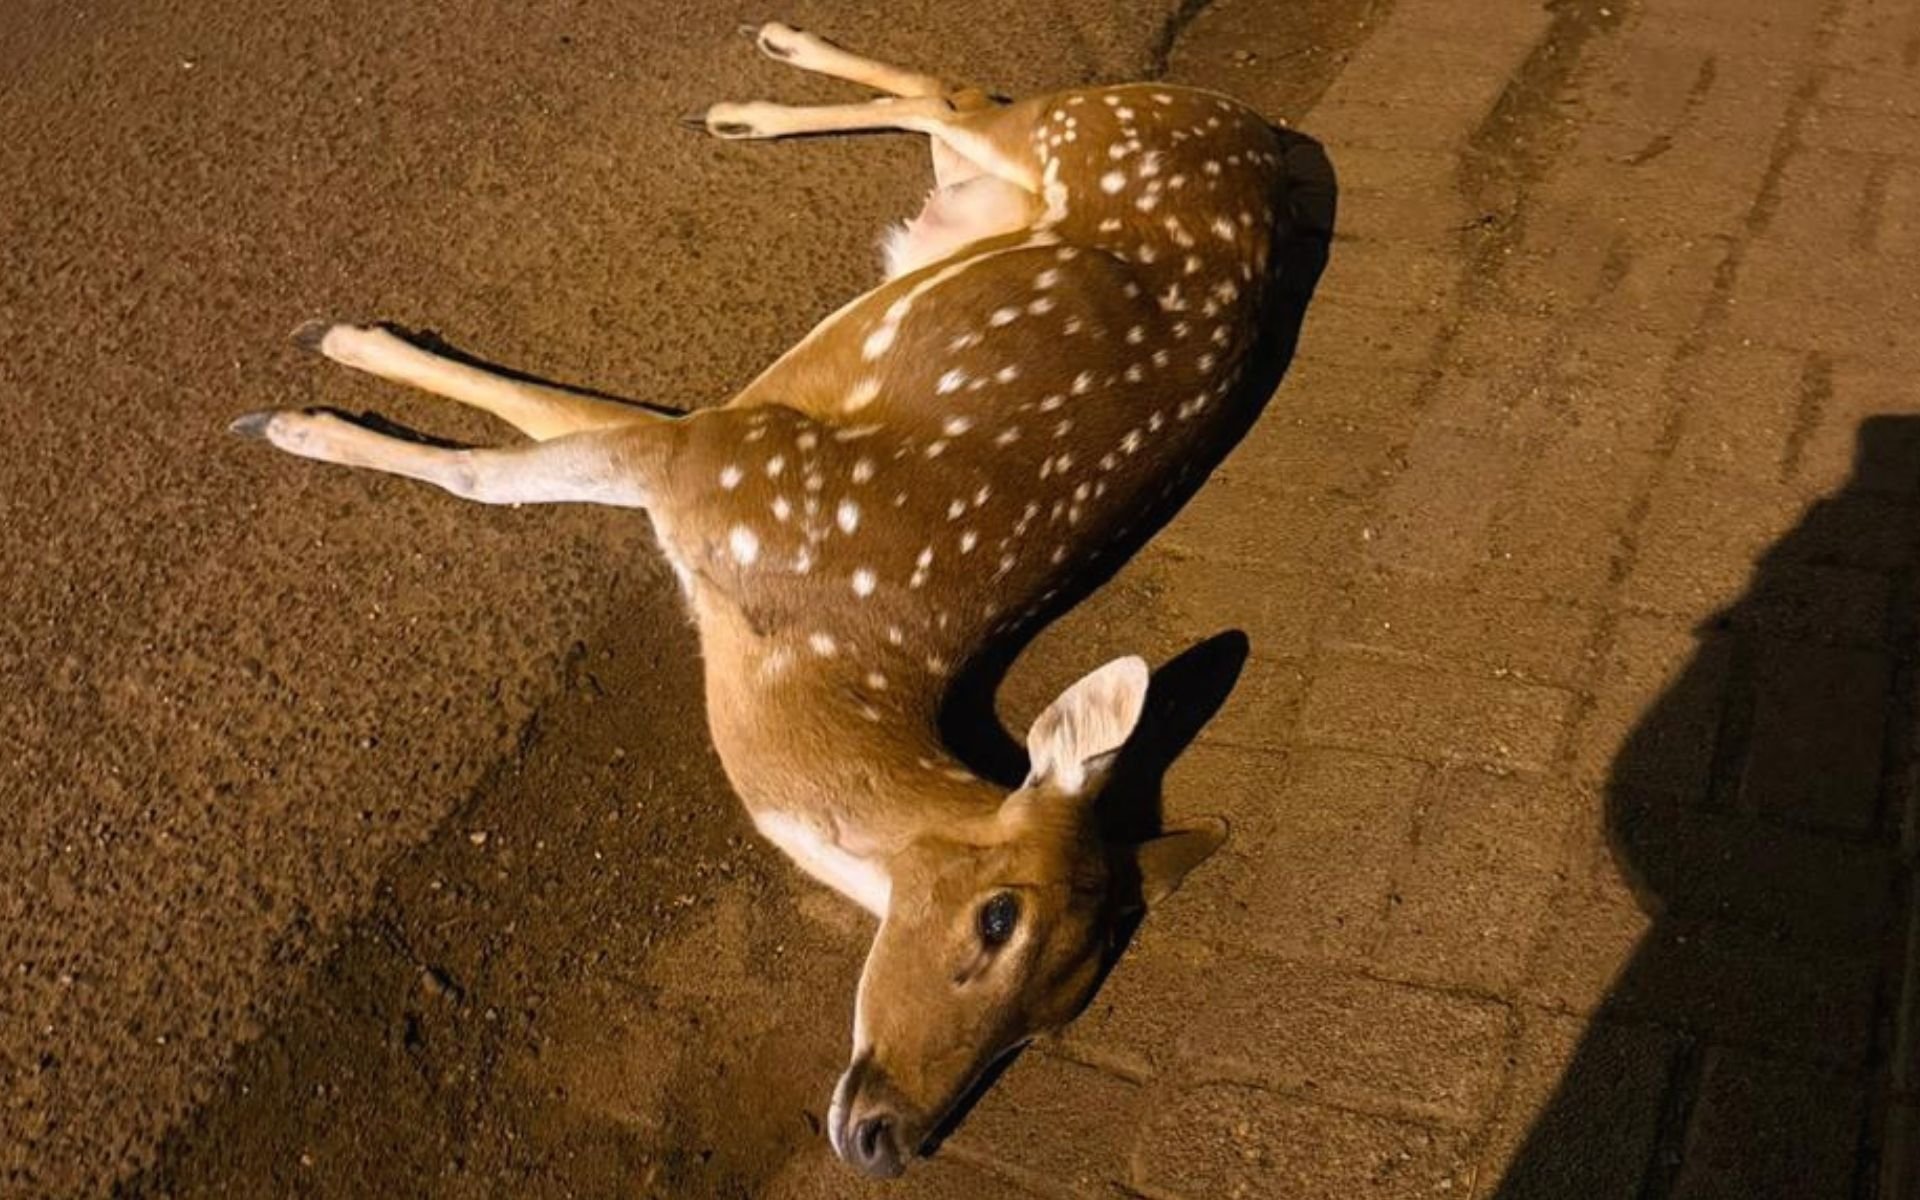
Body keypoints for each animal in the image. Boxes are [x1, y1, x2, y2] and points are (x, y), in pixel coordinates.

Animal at [231, 22, 1293, 1178]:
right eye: (997, 918)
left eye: (1057, 1017)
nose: (889, 1139)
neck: (786, 640)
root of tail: (1252, 123)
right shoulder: (719, 450)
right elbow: (499, 461)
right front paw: (307, 400)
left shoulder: (715, 453)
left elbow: (529, 433)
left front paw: (316, 392)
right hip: (1065, 139)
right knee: (961, 93)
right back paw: (750, 89)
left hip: (985, 198)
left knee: (948, 101)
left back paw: (750, 97)